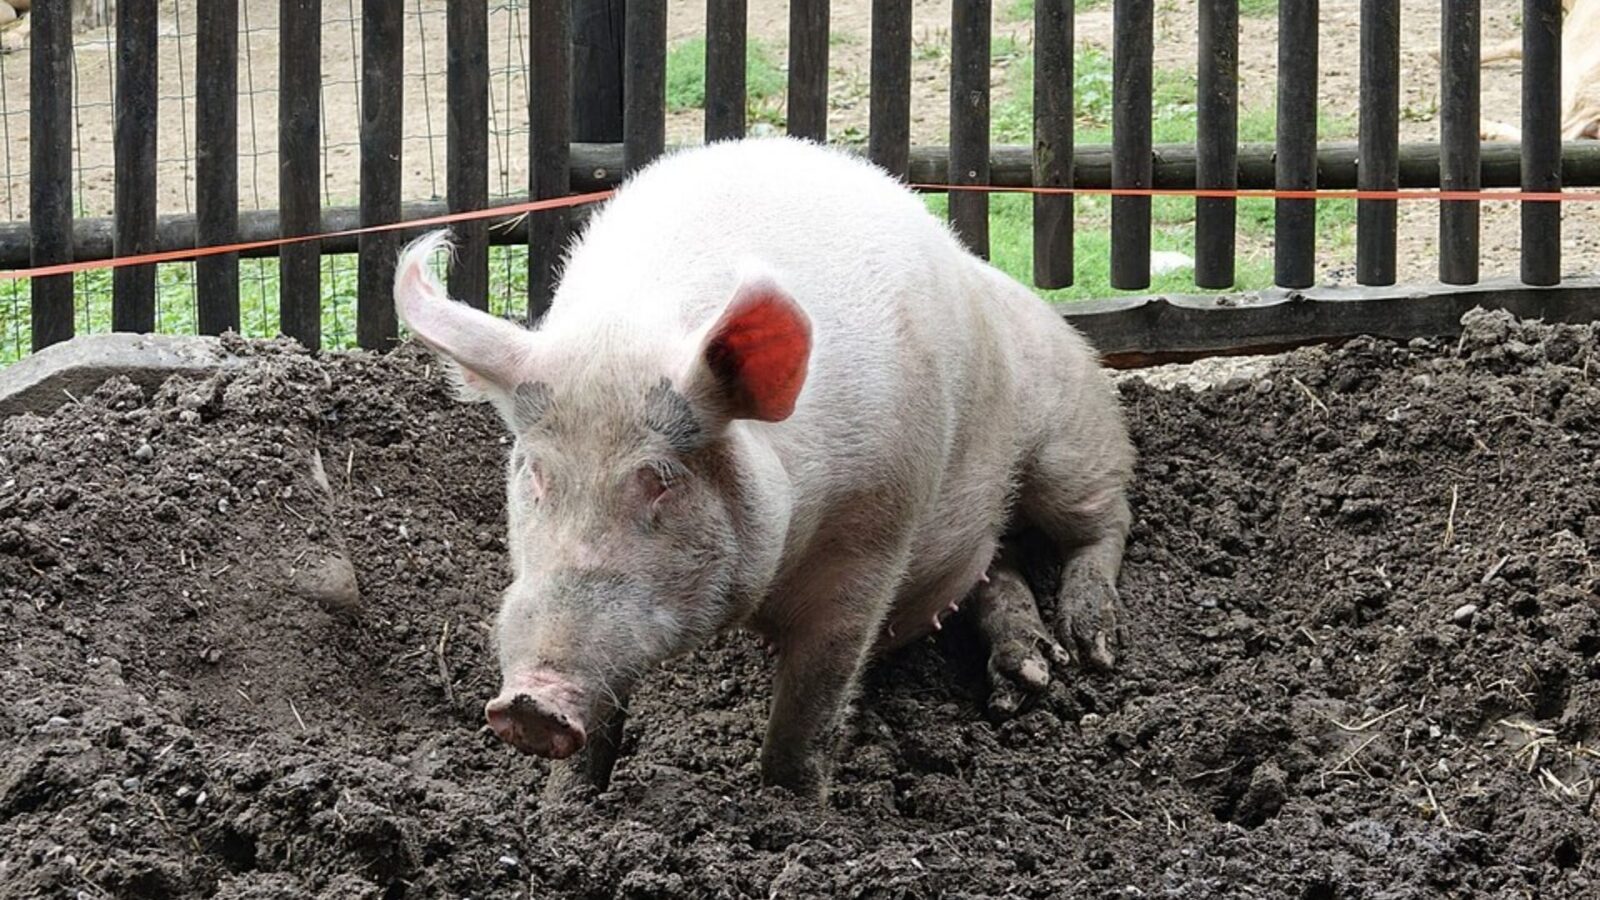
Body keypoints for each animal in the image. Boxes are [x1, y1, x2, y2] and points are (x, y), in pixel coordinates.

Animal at [392, 137, 1134, 801]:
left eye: (661, 479)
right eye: (537, 473)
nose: (529, 705)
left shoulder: (873, 536)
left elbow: (813, 702)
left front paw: (793, 809)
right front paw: (564, 810)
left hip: (1070, 433)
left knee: (1105, 519)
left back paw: (1092, 647)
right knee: (999, 567)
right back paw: (1030, 675)